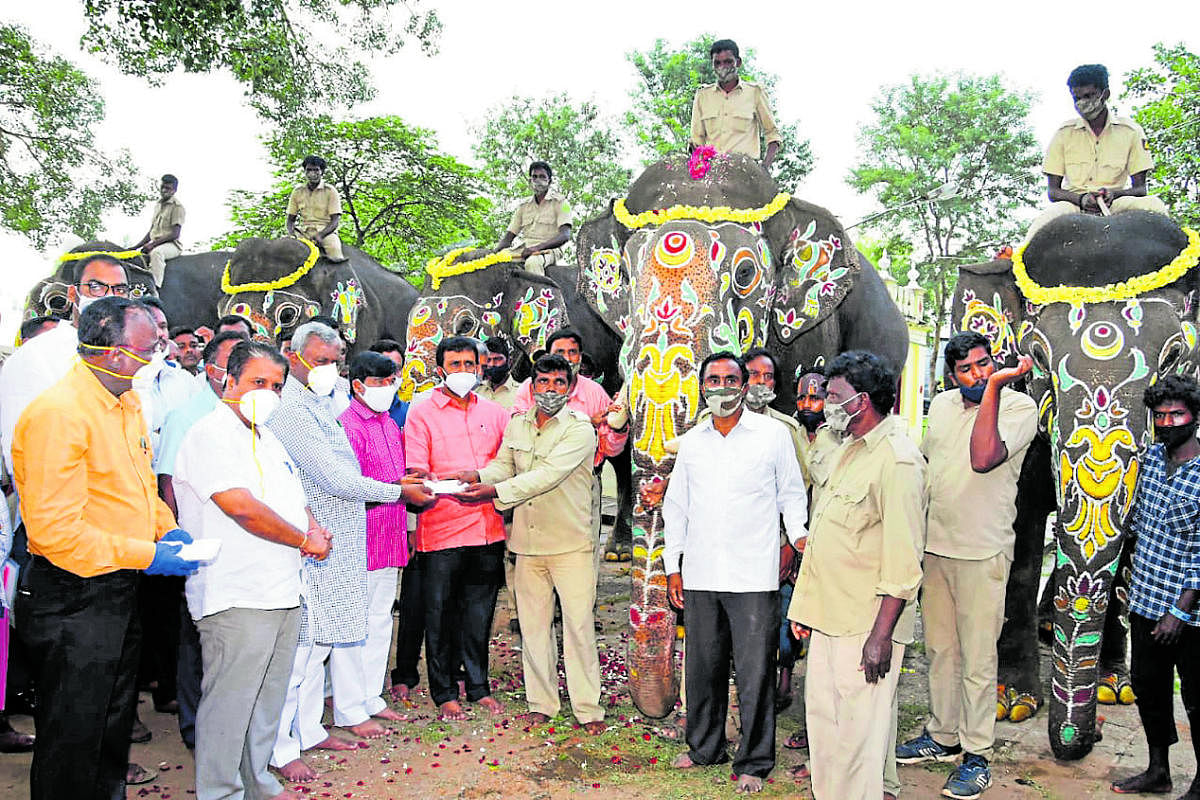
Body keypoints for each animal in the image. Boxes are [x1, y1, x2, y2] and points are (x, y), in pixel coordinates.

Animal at [950, 209, 1195, 762]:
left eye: (1174, 357)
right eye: (1037, 359)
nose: (1083, 739)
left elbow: (1134, 545)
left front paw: (1115, 689)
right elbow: (1020, 534)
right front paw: (1012, 704)